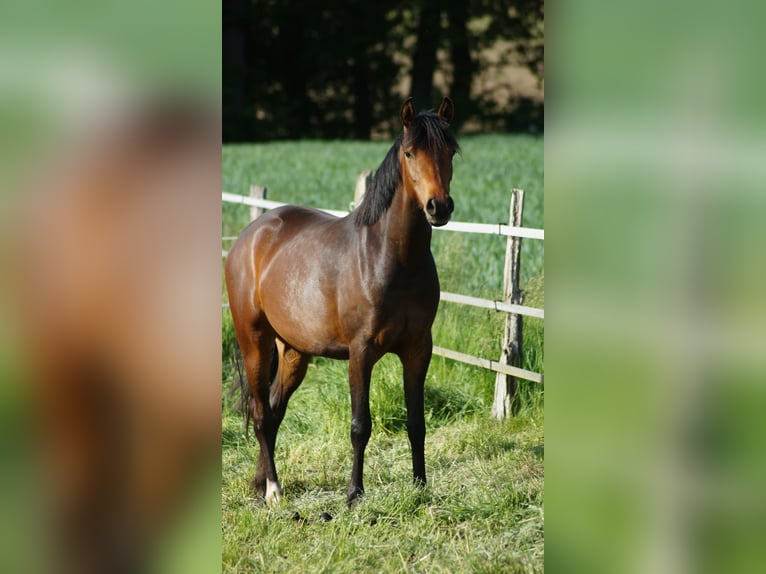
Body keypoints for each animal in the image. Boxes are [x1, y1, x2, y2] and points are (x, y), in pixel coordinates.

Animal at [225, 97, 459, 506]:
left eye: (451, 151)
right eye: (410, 153)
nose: (438, 207)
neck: (390, 258)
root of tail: (250, 236)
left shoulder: (418, 349)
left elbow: (416, 422)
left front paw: (420, 486)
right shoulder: (360, 352)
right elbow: (360, 425)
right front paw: (353, 494)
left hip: (293, 352)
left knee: (274, 410)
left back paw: (261, 481)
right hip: (254, 342)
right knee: (260, 413)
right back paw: (273, 490)